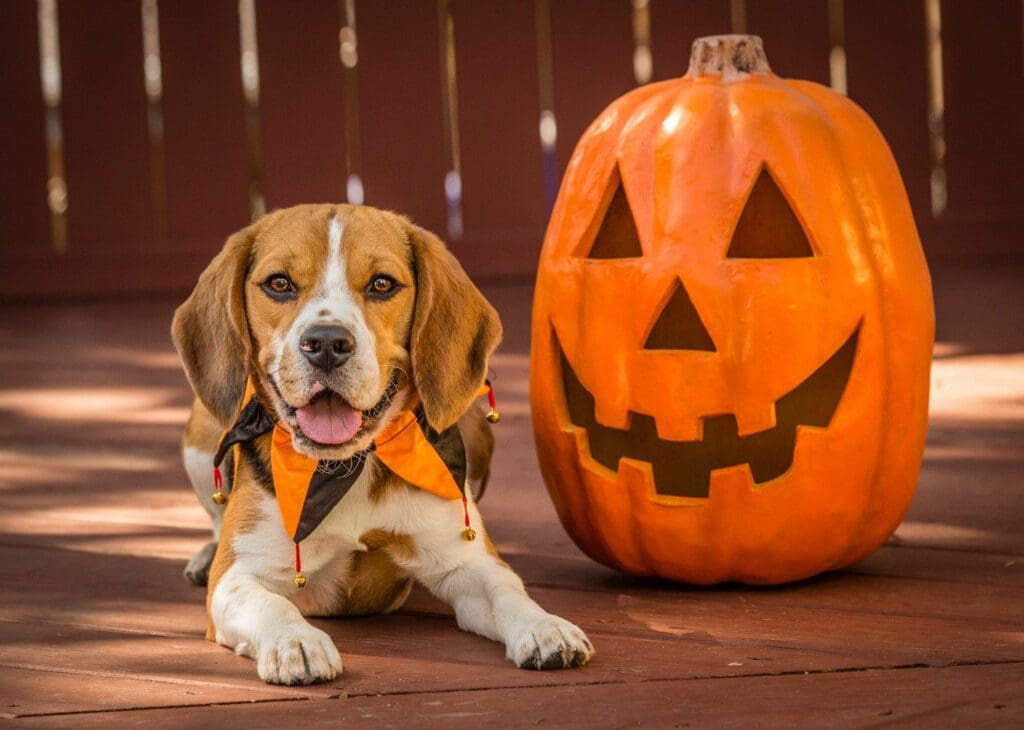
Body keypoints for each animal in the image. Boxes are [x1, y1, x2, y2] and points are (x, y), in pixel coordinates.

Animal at [173, 203, 598, 683]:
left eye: (382, 284)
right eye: (279, 284)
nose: (325, 344)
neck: (344, 468)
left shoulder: (466, 563)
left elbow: (507, 589)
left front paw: (544, 626)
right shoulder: (237, 577)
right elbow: (271, 604)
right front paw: (295, 641)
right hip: (202, 433)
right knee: (215, 514)